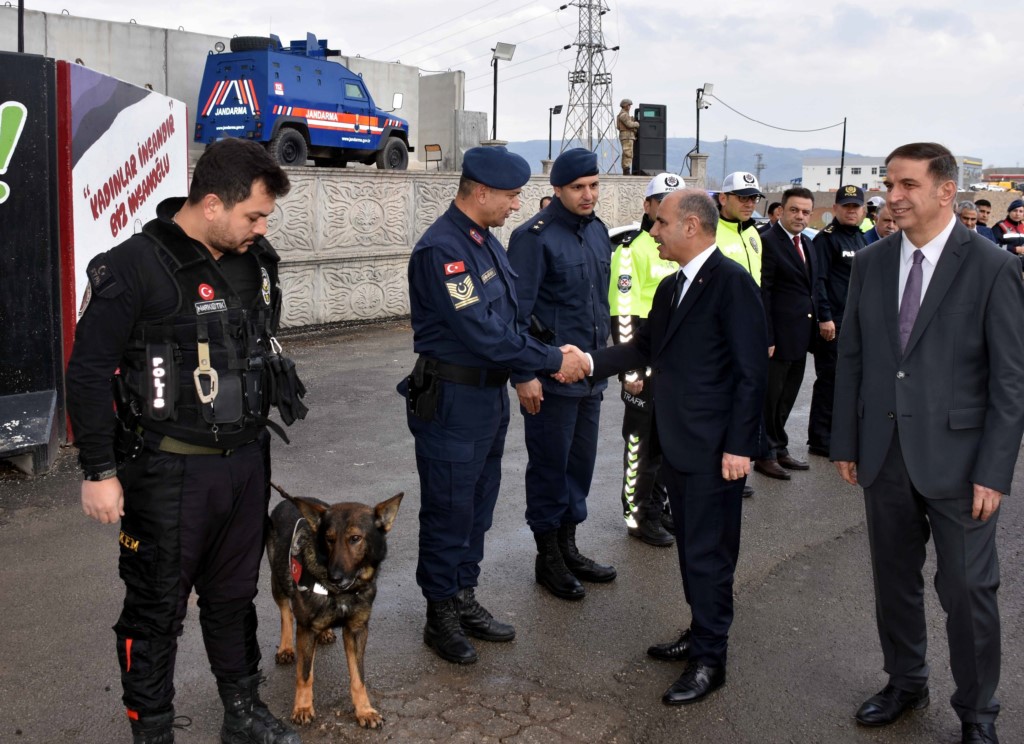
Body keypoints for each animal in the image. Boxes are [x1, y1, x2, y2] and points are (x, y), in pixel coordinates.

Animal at [266, 485, 401, 728]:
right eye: (329, 539)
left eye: (355, 538)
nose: (334, 577)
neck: (342, 593)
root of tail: (288, 501)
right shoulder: (306, 629)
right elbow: (305, 675)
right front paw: (302, 707)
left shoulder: (356, 631)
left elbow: (358, 677)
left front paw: (364, 710)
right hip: (278, 580)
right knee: (285, 612)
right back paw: (286, 647)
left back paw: (325, 632)